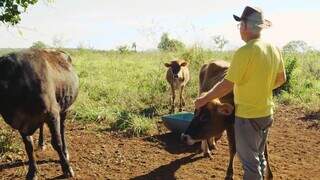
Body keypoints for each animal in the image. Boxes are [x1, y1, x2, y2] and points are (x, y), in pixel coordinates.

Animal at [0, 48, 79, 179]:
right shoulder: (22, 123)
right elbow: (29, 147)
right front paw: (32, 172)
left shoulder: (52, 114)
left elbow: (57, 143)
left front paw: (67, 168)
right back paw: (41, 143)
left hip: (65, 108)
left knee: (62, 130)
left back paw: (65, 151)